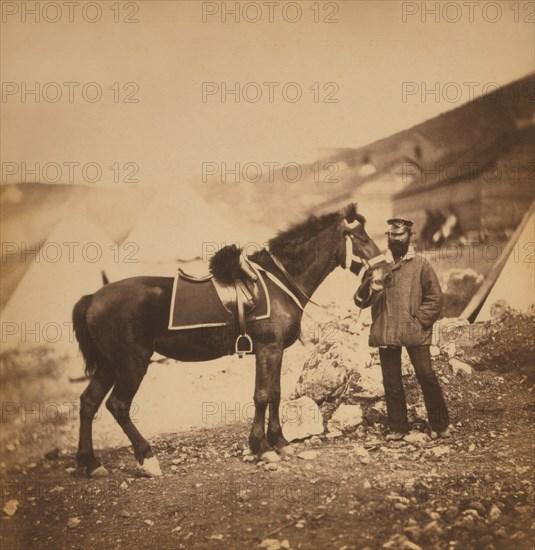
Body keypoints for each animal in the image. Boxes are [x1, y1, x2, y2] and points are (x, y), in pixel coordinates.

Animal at [73, 204, 394, 478]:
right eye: (361, 238)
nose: (387, 276)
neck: (280, 283)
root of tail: (93, 298)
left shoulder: (274, 351)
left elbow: (274, 393)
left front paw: (279, 441)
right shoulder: (268, 348)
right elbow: (262, 395)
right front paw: (262, 447)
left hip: (109, 366)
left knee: (88, 403)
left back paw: (92, 464)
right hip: (132, 364)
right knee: (118, 405)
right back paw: (147, 458)